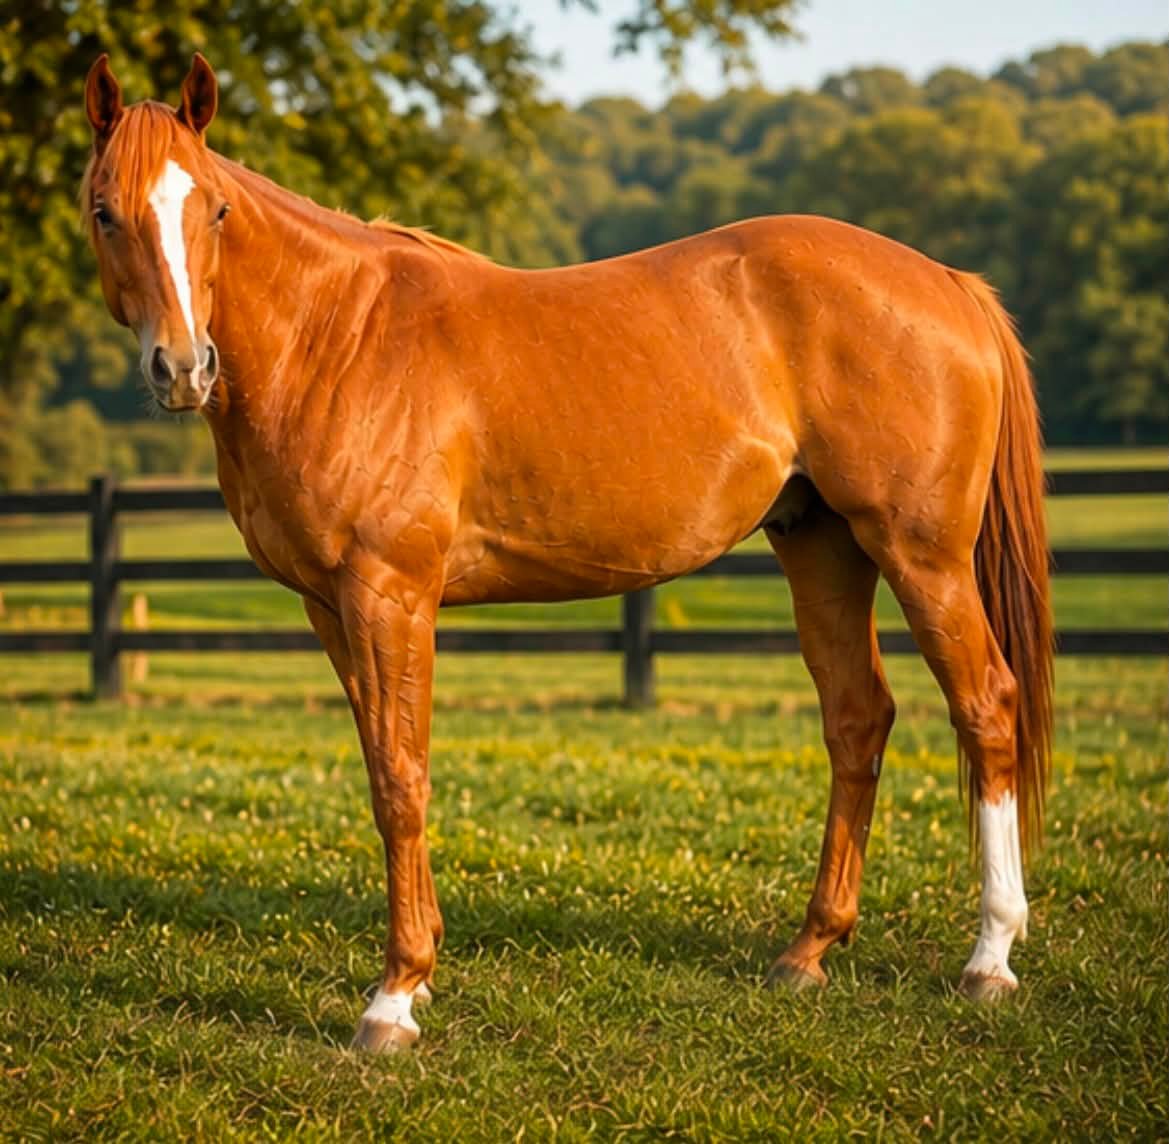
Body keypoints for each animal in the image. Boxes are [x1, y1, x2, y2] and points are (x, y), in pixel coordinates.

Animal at [81, 53, 1052, 1052]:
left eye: (214, 212)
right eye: (104, 210)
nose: (182, 369)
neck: (336, 339)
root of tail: (946, 282)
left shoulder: (388, 595)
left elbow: (401, 777)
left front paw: (394, 997)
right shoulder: (328, 607)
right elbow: (382, 769)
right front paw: (418, 972)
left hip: (920, 553)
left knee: (986, 706)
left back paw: (989, 958)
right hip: (820, 547)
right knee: (857, 720)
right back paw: (808, 951)